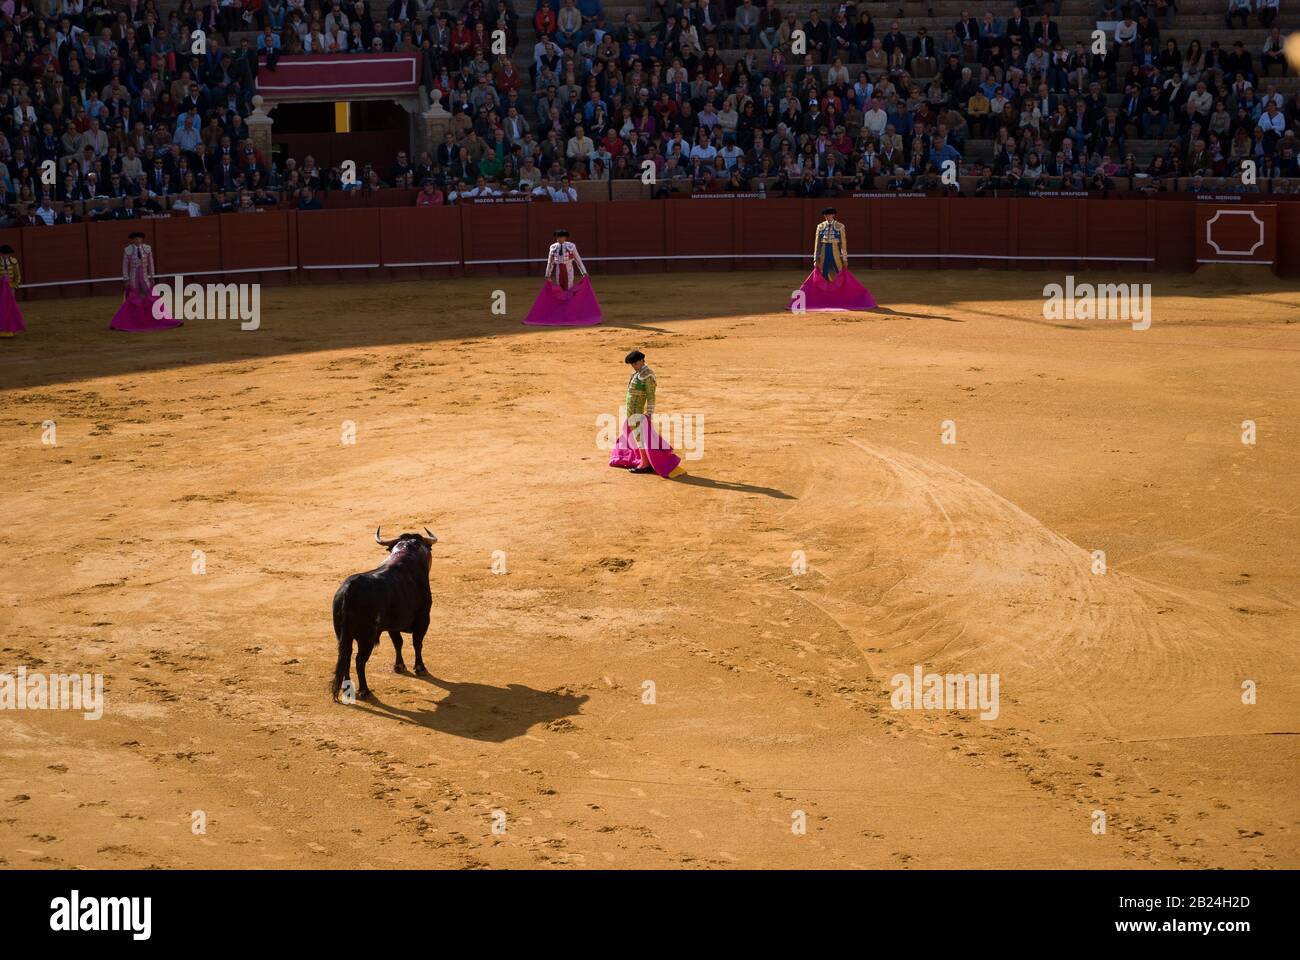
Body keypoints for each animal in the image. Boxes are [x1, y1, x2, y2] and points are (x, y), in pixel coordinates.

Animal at [330, 528, 436, 697]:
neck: (407, 553)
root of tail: (349, 589)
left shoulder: (392, 625)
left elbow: (398, 642)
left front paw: (399, 666)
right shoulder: (424, 618)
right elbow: (417, 643)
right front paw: (420, 668)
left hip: (342, 634)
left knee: (345, 656)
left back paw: (348, 688)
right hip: (366, 637)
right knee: (359, 660)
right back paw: (364, 690)